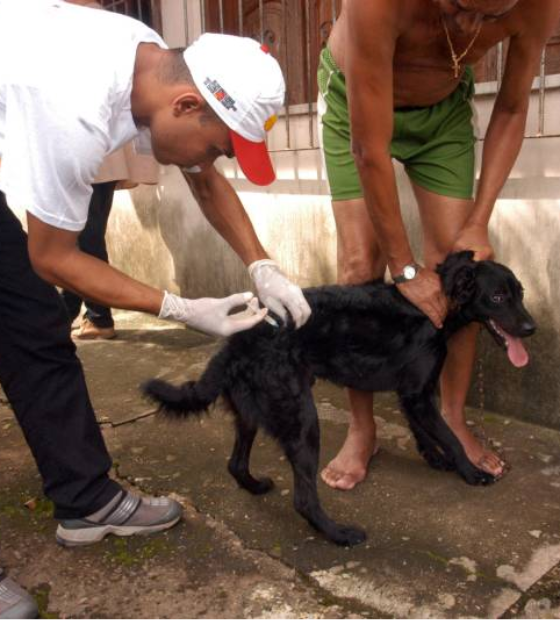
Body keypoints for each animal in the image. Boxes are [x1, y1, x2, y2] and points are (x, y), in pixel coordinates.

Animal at [142, 249, 536, 544]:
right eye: (498, 296)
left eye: (520, 293)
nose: (532, 328)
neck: (436, 303)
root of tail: (236, 342)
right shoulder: (417, 394)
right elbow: (450, 437)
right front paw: (470, 471)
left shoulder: (413, 395)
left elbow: (424, 430)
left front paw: (435, 457)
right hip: (302, 421)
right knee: (303, 499)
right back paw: (339, 534)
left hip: (253, 413)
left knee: (236, 464)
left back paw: (255, 487)